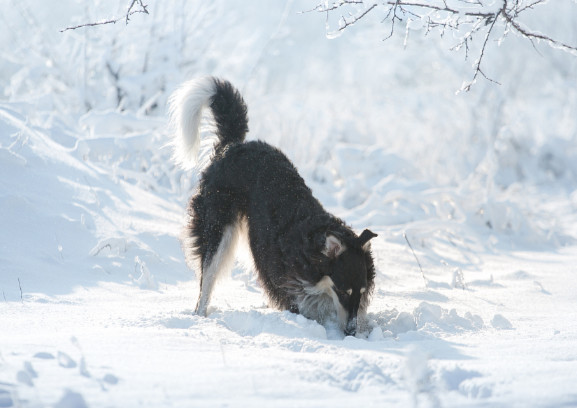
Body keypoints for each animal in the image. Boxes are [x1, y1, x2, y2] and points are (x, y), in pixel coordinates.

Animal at [169, 76, 378, 334]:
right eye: (343, 291)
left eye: (361, 292)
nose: (351, 331)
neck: (310, 250)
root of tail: (232, 145)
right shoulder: (288, 281)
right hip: (217, 228)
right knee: (205, 283)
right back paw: (200, 318)